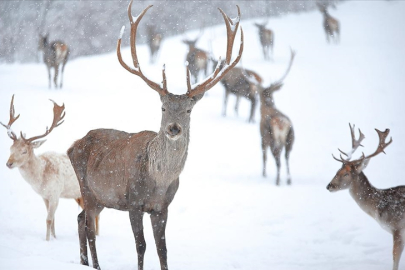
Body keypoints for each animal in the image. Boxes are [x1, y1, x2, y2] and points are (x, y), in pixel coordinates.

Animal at [0, 94, 98, 240]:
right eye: (11, 148)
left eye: (24, 151)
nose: (9, 163)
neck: (40, 178)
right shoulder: (44, 196)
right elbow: (53, 219)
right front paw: (54, 237)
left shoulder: (55, 193)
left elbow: (48, 219)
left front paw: (47, 240)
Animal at [67, 1, 243, 268]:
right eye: (163, 107)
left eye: (189, 109)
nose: (173, 128)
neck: (158, 180)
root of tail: (72, 146)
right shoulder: (133, 202)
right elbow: (141, 245)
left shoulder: (162, 207)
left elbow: (163, 249)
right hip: (87, 188)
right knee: (88, 226)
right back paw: (96, 264)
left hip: (101, 197)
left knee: (79, 219)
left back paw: (84, 262)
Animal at [260, 50, 296, 186]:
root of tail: (283, 125)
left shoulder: (262, 136)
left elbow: (263, 156)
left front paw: (263, 174)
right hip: (290, 139)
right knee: (286, 157)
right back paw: (288, 180)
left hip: (273, 138)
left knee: (277, 158)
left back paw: (277, 180)